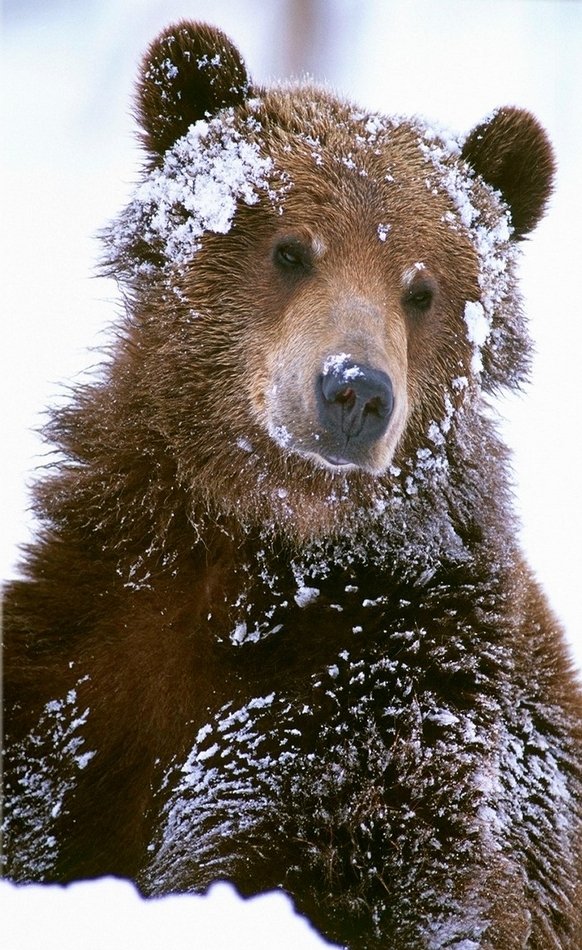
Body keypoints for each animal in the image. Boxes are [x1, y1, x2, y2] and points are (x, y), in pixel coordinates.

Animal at [3, 19, 582, 949]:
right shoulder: (84, 651)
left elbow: (343, 867)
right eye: (289, 247)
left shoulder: (379, 706)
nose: (355, 392)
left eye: (423, 290)